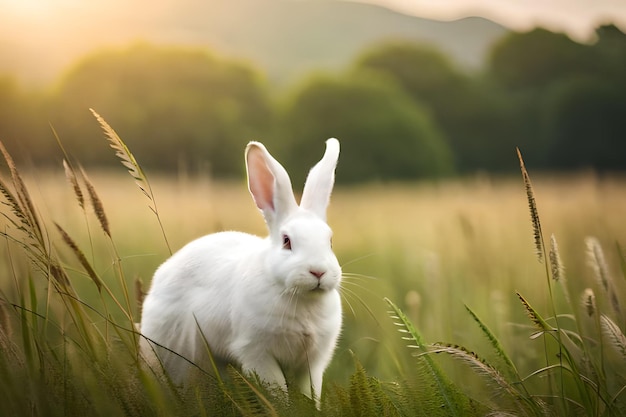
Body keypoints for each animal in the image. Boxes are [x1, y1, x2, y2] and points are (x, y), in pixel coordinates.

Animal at [139, 138, 342, 404]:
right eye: (287, 241)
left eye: (330, 241)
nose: (318, 272)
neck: (299, 297)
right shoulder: (256, 351)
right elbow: (278, 392)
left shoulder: (312, 363)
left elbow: (310, 394)